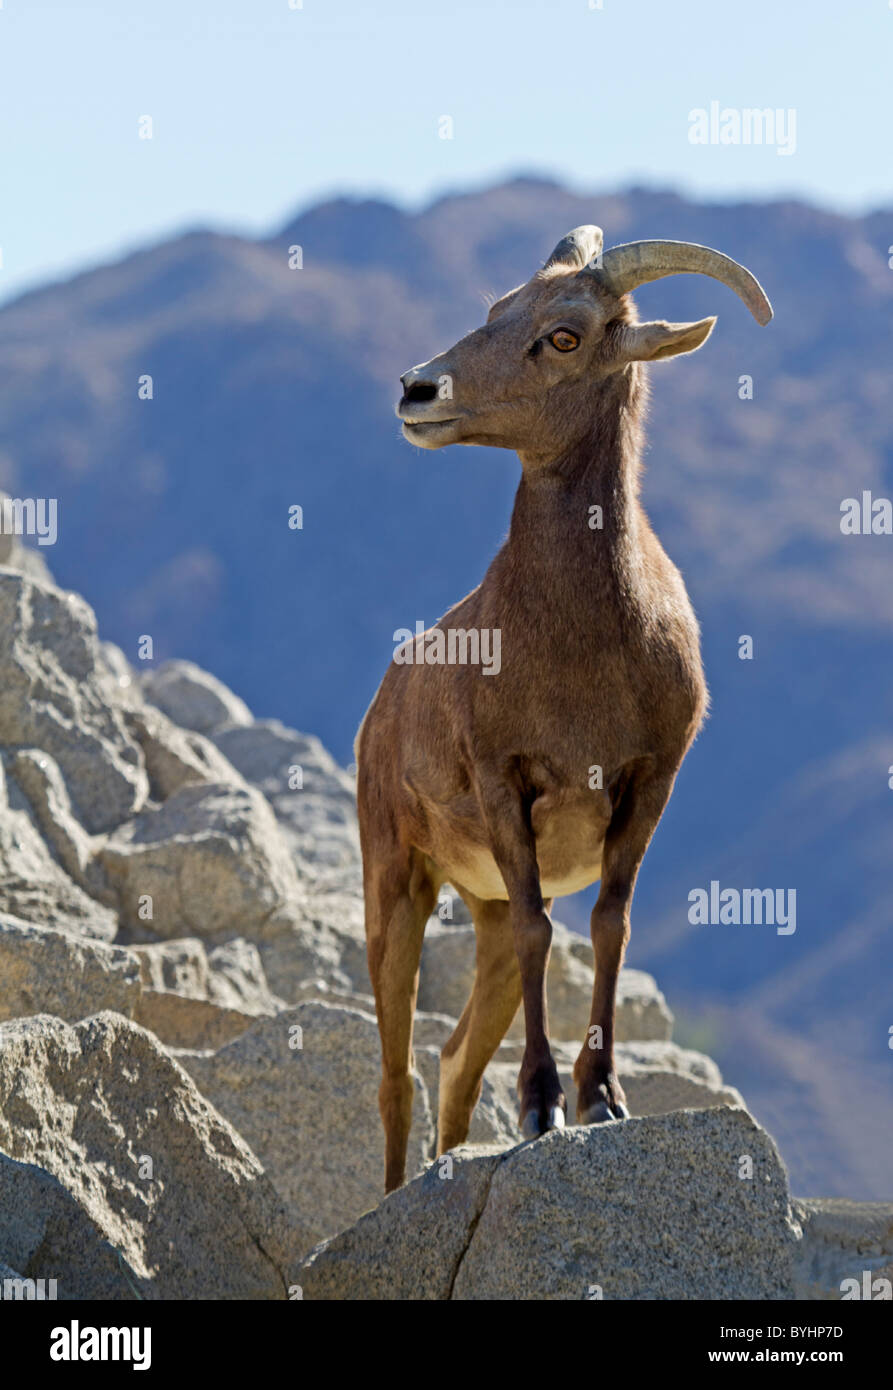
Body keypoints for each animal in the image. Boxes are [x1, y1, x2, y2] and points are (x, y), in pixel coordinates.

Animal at [350, 222, 767, 1189]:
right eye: (498, 309)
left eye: (564, 335)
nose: (417, 389)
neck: (581, 653)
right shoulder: (509, 788)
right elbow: (548, 932)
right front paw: (541, 1105)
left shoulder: (647, 786)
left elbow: (609, 925)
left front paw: (600, 1099)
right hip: (396, 884)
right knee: (395, 1076)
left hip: (481, 916)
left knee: (454, 1060)